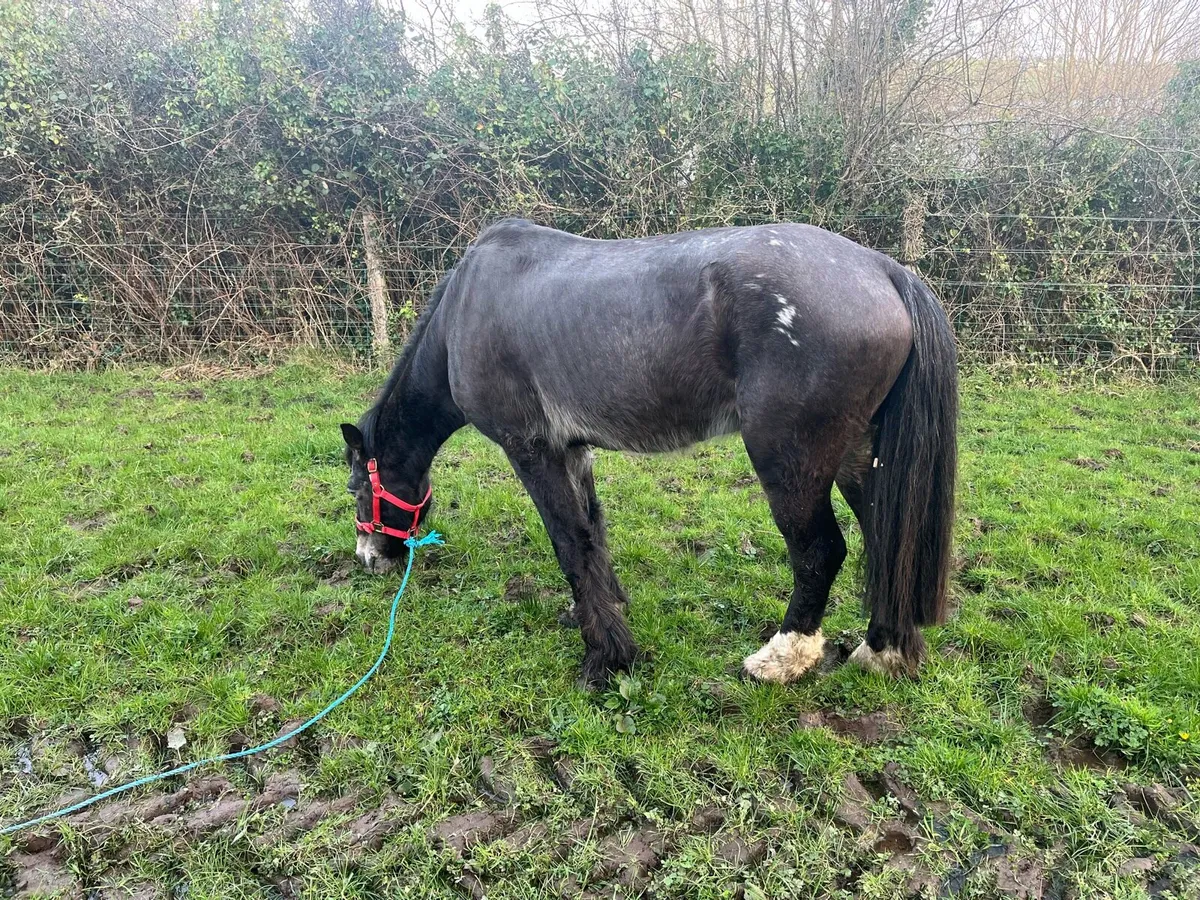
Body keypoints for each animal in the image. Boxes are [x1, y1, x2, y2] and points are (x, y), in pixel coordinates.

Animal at [341, 218, 957, 688]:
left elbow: (568, 542)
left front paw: (605, 656)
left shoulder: (531, 449)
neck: (464, 310)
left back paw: (779, 659)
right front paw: (602, 611)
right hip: (859, 456)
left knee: (821, 552)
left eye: (356, 488)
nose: (369, 558)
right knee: (887, 543)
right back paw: (882, 650)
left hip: (791, 463)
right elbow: (592, 531)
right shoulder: (573, 450)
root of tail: (883, 270)